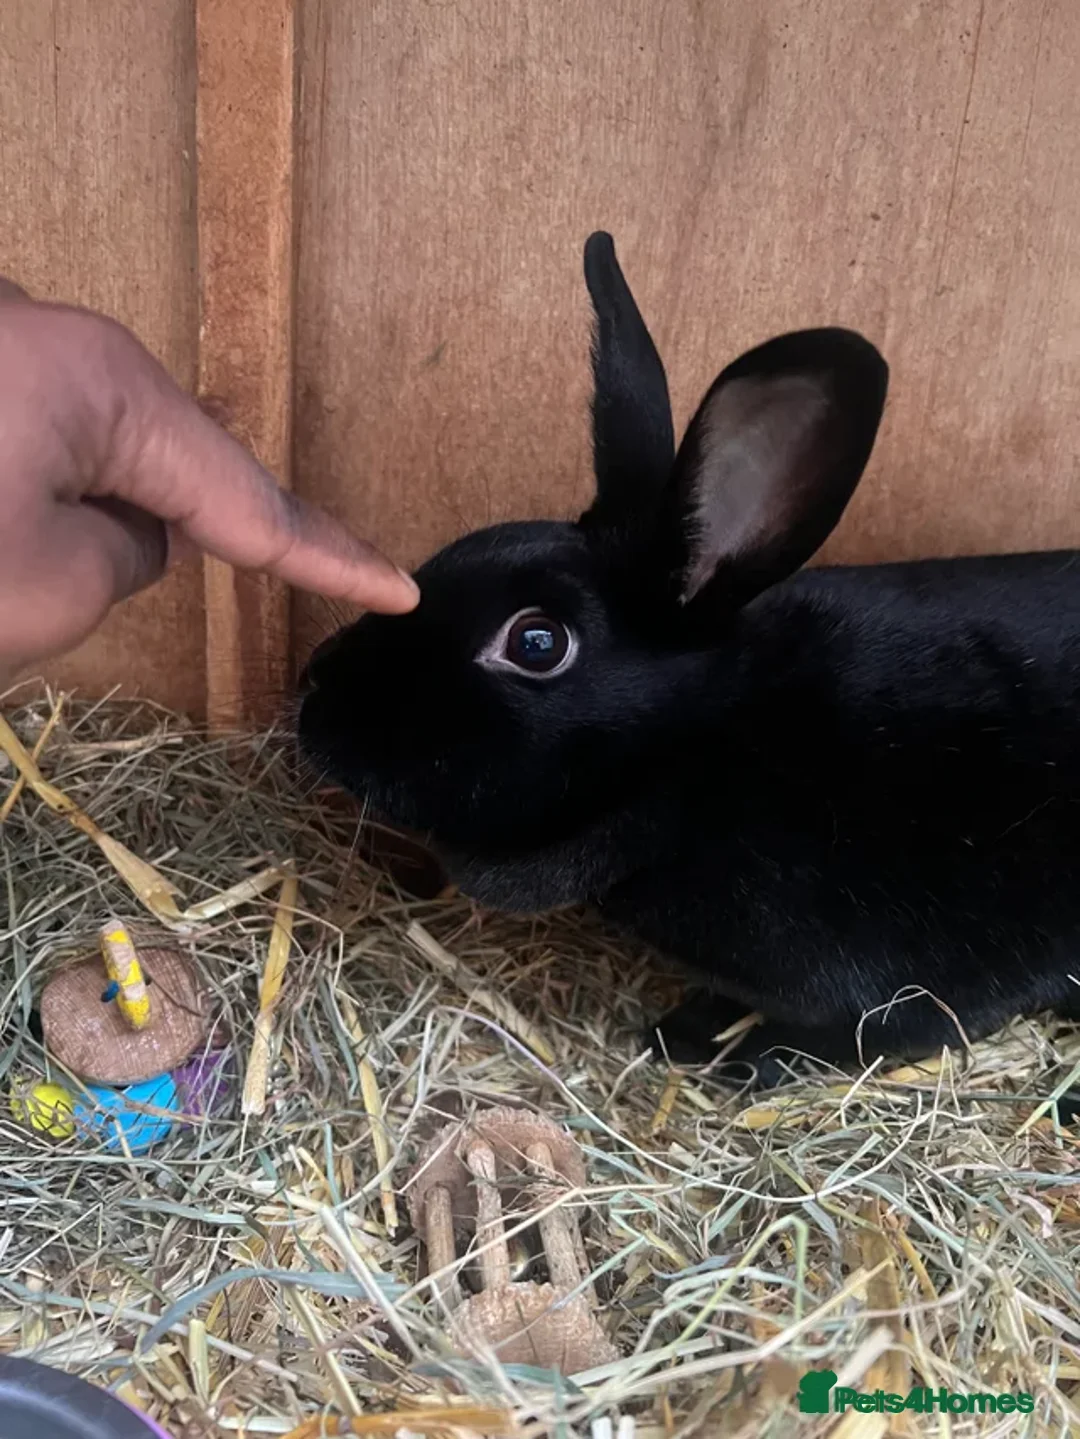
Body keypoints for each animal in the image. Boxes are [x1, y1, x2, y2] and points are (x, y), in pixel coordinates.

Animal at [298, 231, 1080, 1088]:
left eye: (537, 642)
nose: (313, 692)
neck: (709, 747)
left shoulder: (910, 978)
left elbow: (879, 1032)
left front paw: (706, 1042)